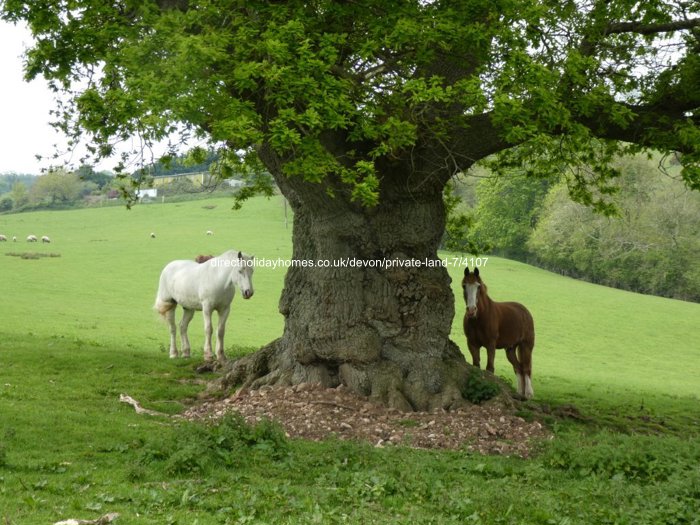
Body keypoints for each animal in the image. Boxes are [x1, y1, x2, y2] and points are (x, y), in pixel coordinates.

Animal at [464, 268, 536, 400]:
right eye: (464, 286)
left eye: (478, 286)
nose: (471, 310)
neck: (479, 318)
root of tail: (525, 311)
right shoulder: (472, 344)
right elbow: (476, 365)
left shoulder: (490, 345)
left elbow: (490, 368)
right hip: (510, 349)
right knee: (518, 368)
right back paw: (519, 393)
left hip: (526, 346)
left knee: (526, 368)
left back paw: (528, 395)